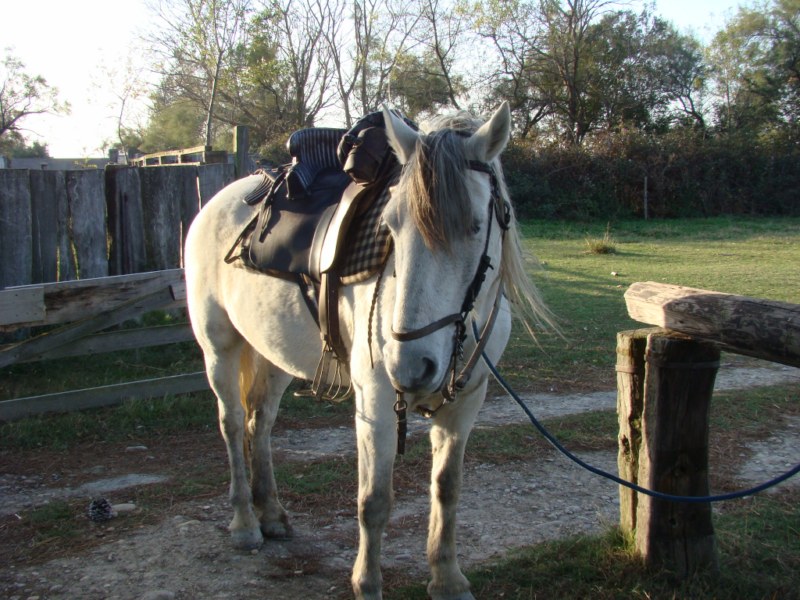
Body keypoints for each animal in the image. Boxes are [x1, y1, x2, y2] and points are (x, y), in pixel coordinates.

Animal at [184, 104, 552, 600]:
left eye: (475, 225)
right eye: (390, 225)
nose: (411, 368)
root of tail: (221, 201)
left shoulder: (466, 402)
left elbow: (447, 489)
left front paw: (447, 578)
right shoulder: (376, 404)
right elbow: (374, 501)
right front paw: (368, 583)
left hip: (275, 355)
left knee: (260, 422)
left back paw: (272, 514)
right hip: (219, 347)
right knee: (232, 424)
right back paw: (245, 523)